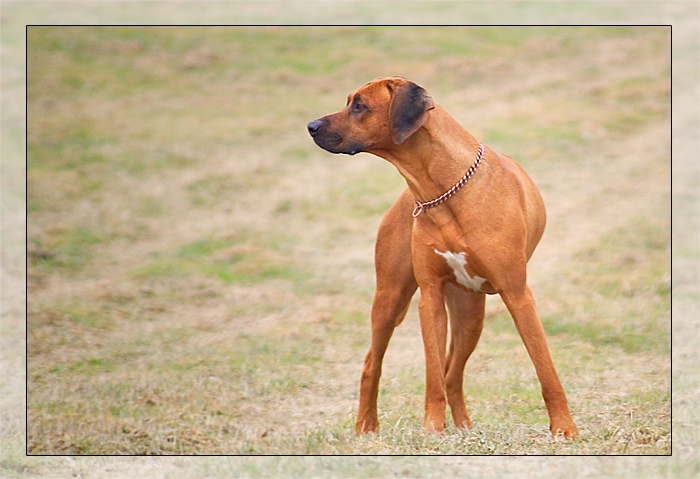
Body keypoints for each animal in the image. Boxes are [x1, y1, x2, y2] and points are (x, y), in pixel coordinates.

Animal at [308, 76, 580, 438]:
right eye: (349, 101)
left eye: (360, 105)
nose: (311, 126)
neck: (441, 190)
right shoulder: (431, 296)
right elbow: (432, 374)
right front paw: (432, 428)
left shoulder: (517, 294)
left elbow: (546, 369)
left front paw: (565, 429)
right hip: (391, 298)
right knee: (374, 364)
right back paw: (366, 425)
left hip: (471, 315)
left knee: (454, 372)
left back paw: (464, 426)